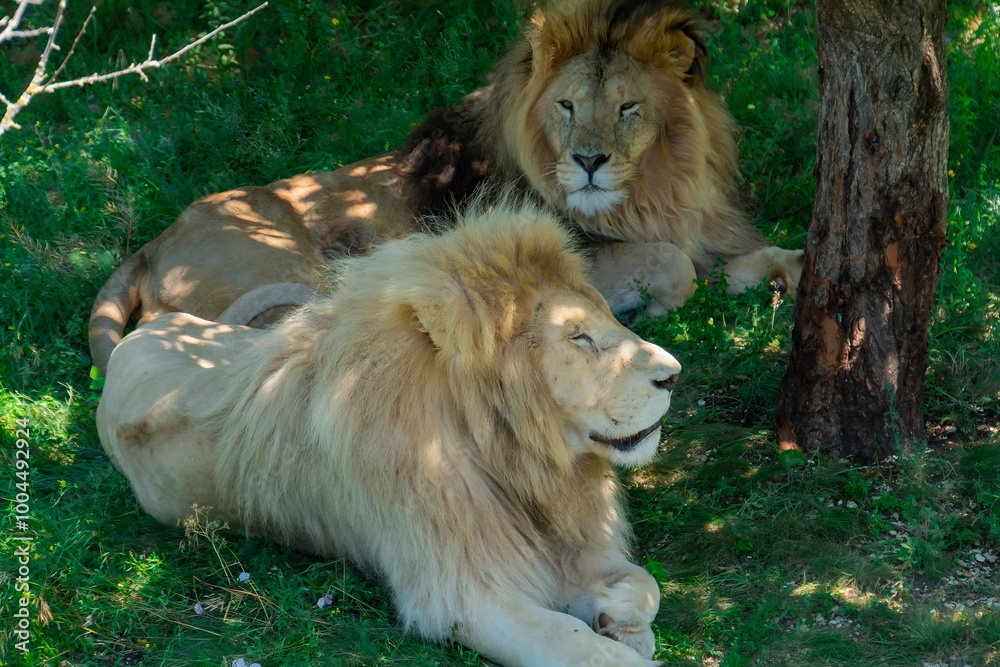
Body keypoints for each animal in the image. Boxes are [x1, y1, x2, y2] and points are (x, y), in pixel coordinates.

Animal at [89, 0, 802, 373]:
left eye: (629, 107)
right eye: (567, 106)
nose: (589, 161)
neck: (659, 188)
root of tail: (152, 245)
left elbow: (761, 254)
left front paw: (781, 274)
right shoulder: (570, 254)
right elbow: (674, 265)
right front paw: (645, 310)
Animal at [96, 202, 681, 667]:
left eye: (604, 317)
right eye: (578, 337)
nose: (673, 374)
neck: (522, 462)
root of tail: (131, 343)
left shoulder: (572, 539)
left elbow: (647, 583)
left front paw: (620, 621)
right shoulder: (461, 594)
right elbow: (573, 644)